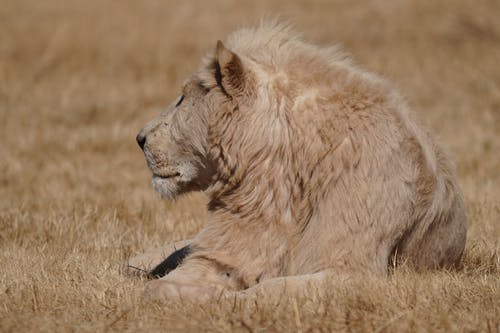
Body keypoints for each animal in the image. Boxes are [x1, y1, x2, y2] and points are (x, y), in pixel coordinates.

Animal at [127, 24, 466, 300]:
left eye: (182, 99)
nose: (139, 138)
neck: (275, 177)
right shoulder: (226, 251)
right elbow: (164, 284)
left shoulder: (353, 270)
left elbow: (266, 291)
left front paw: (219, 299)